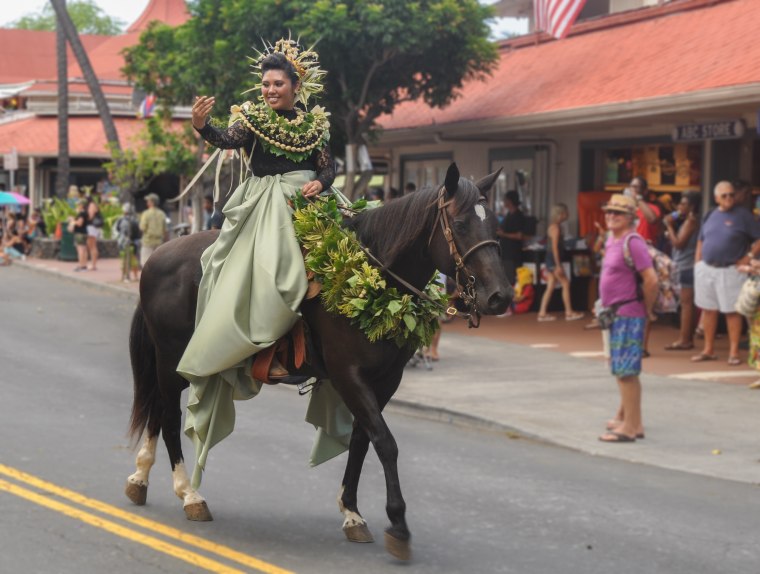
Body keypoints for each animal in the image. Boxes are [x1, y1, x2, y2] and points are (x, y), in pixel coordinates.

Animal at [124, 162, 512, 564]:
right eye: (462, 224)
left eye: (493, 225)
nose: (499, 296)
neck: (372, 275)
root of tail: (156, 257)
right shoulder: (347, 375)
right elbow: (385, 442)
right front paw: (398, 525)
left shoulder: (386, 380)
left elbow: (363, 439)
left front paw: (352, 512)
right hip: (173, 360)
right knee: (169, 416)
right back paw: (188, 493)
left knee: (157, 410)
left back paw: (140, 478)